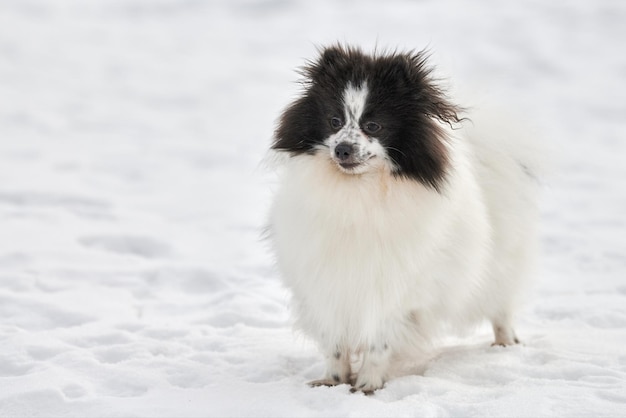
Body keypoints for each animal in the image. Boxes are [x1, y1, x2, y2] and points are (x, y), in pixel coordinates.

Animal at [266, 45, 536, 396]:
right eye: (334, 121)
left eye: (373, 125)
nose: (342, 149)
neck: (358, 191)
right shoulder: (326, 280)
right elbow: (335, 341)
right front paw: (332, 381)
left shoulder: (396, 285)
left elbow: (379, 341)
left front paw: (367, 385)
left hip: (499, 262)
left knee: (501, 306)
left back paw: (505, 345)